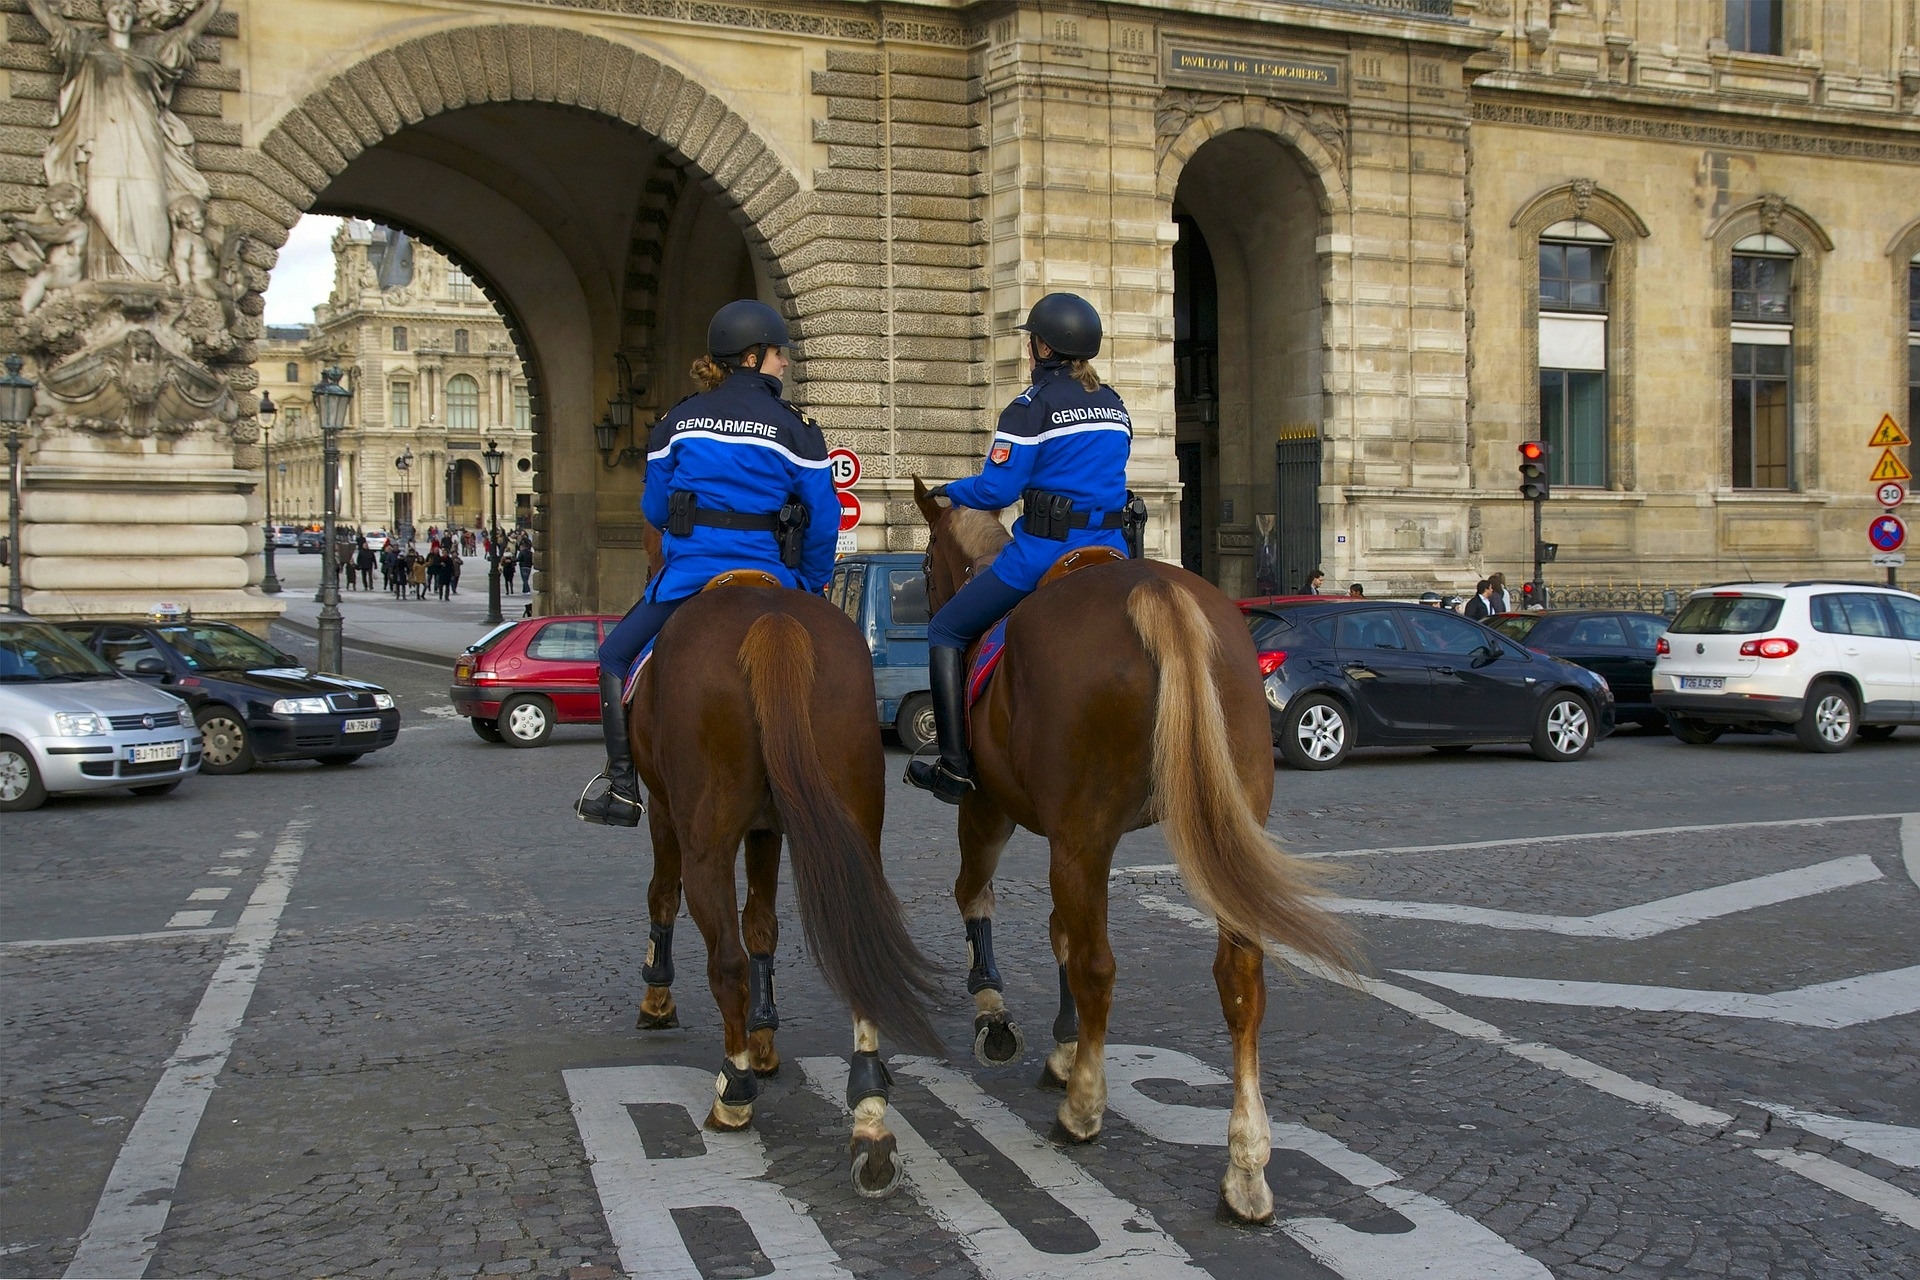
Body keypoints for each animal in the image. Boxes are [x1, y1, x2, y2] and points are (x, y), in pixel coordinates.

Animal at [625, 514, 940, 1197]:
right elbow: (764, 924)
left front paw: (659, 999)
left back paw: (733, 1093)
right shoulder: (769, 830)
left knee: (724, 959)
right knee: (853, 940)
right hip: (853, 821)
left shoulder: (665, 812)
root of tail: (771, 623)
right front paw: (767, 1037)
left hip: (705, 839)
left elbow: (664, 897)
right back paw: (869, 1118)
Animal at [913, 477, 1367, 1220]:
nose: (928, 600)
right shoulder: (1067, 836)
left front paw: (997, 1015)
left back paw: (1084, 1111)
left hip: (1076, 833)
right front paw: (1065, 1045)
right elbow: (1059, 932)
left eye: (924, 567)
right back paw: (1246, 1166)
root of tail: (1155, 592)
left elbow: (979, 898)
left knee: (1098, 964)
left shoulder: (995, 810)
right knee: (1240, 981)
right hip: (1212, 829)